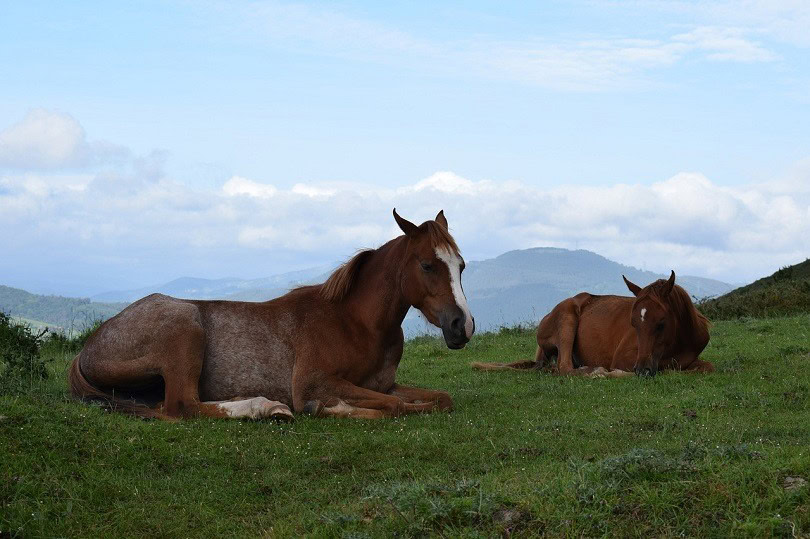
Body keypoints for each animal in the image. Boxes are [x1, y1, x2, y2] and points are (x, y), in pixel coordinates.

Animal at [69, 209, 475, 420]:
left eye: (461, 265)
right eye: (426, 265)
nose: (462, 326)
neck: (355, 323)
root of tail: (88, 347)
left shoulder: (384, 384)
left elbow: (439, 398)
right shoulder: (314, 382)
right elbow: (392, 407)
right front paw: (327, 408)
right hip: (184, 326)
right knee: (182, 405)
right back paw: (263, 407)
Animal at [471, 271, 713, 377]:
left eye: (661, 324)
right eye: (633, 324)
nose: (642, 369)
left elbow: (705, 366)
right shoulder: (624, 358)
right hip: (567, 320)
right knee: (564, 367)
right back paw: (594, 370)